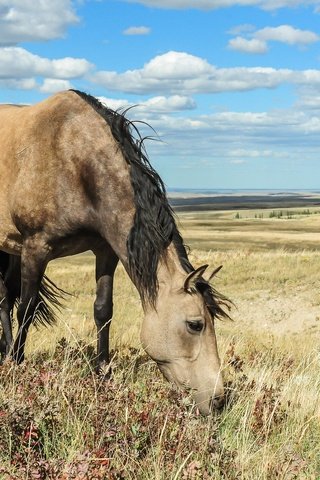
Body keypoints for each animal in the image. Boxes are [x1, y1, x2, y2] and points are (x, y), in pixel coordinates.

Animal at [0, 92, 230, 414]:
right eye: (195, 325)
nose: (218, 400)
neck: (73, 158)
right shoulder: (36, 249)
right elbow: (27, 309)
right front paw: (18, 366)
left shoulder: (105, 251)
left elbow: (103, 311)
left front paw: (102, 376)